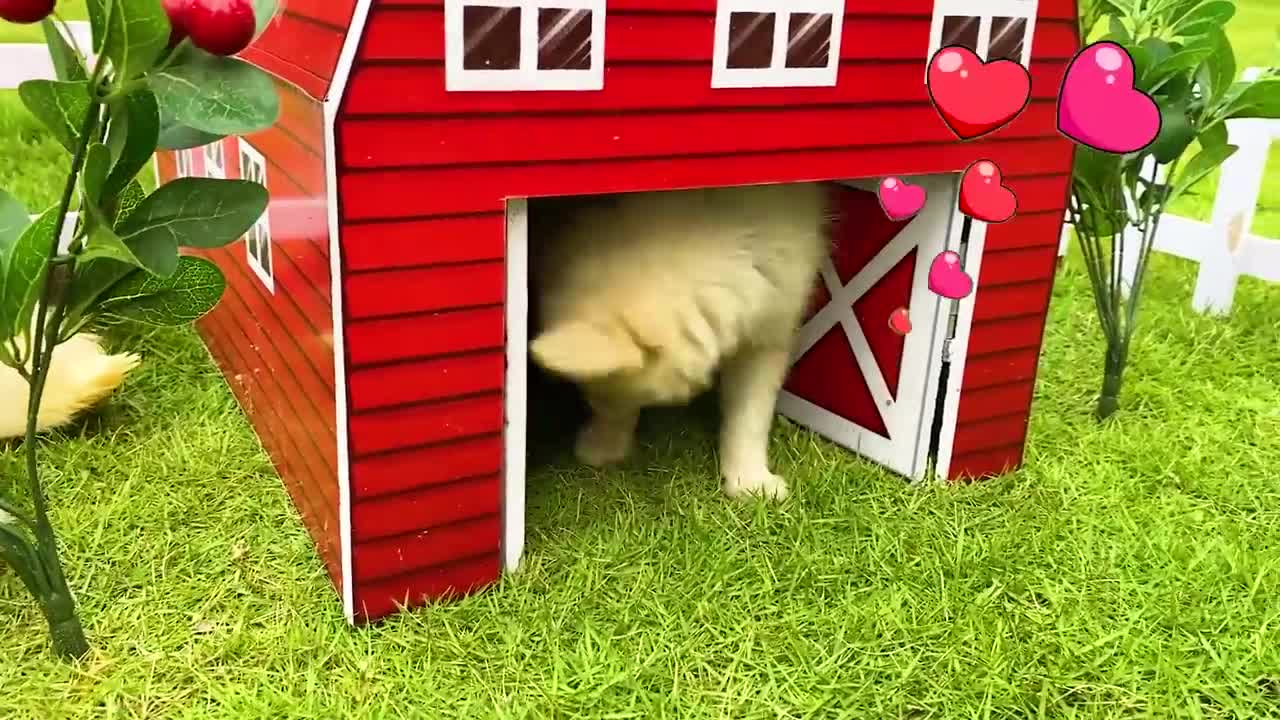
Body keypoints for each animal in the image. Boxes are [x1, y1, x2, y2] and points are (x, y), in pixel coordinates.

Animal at [527, 183, 829, 499]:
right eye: (591, 396)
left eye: (599, 396)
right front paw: (605, 441)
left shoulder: (773, 315)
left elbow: (750, 411)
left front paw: (750, 480)